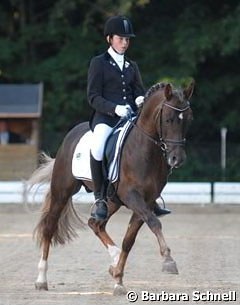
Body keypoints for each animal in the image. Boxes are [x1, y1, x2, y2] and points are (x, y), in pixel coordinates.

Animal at [28, 80, 194, 292]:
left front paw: (118, 281)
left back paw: (114, 259)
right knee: (49, 228)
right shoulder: (133, 196)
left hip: (110, 200)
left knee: (96, 223)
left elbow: (129, 240)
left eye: (188, 120)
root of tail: (72, 134)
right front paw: (168, 260)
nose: (177, 159)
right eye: (168, 119)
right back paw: (41, 279)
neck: (144, 150)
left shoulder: (146, 201)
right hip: (62, 191)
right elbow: (155, 223)